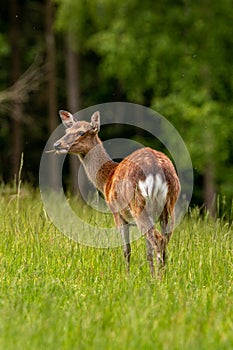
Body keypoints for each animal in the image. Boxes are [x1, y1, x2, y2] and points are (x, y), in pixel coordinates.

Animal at [52, 109, 180, 276]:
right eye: (67, 131)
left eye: (81, 132)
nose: (57, 144)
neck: (107, 179)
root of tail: (156, 167)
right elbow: (147, 251)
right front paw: (149, 275)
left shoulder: (116, 213)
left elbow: (127, 249)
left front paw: (127, 276)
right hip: (169, 206)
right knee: (164, 241)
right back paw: (162, 276)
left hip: (138, 204)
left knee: (157, 240)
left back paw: (159, 279)